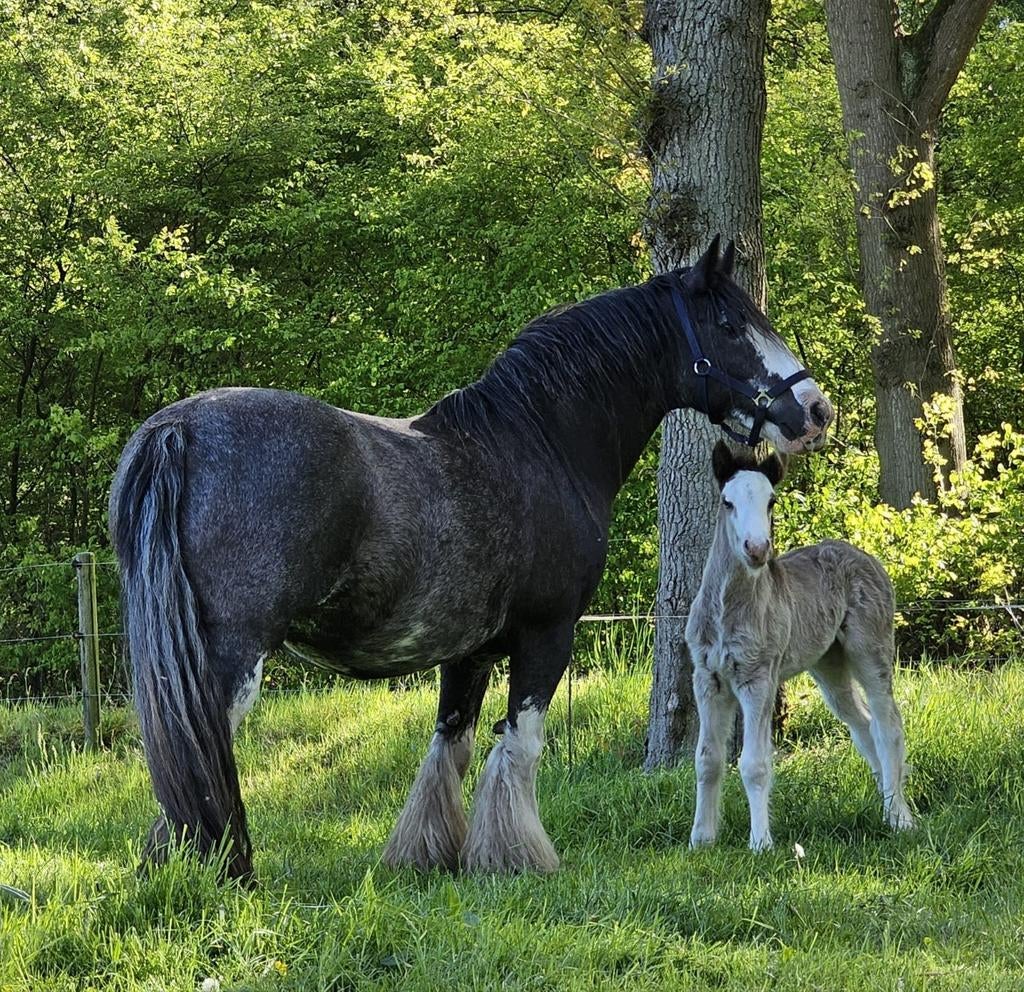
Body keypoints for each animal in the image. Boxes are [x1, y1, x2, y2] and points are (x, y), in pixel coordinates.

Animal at [109, 237, 834, 881]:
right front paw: (518, 859)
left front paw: (429, 856)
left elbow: (448, 753)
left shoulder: (469, 652)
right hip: (228, 660)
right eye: (730, 325)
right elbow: (519, 747)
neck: (540, 440)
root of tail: (177, 430)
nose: (817, 410)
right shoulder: (547, 635)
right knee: (199, 758)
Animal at [685, 441, 914, 852]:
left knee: (888, 724)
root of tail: (867, 557)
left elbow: (754, 763)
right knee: (863, 725)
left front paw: (760, 843)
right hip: (829, 664)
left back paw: (900, 818)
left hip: (870, 649)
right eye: (727, 502)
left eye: (771, 501)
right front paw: (702, 839)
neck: (728, 611)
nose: (757, 549)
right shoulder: (708, 678)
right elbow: (707, 759)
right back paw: (885, 803)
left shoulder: (758, 678)